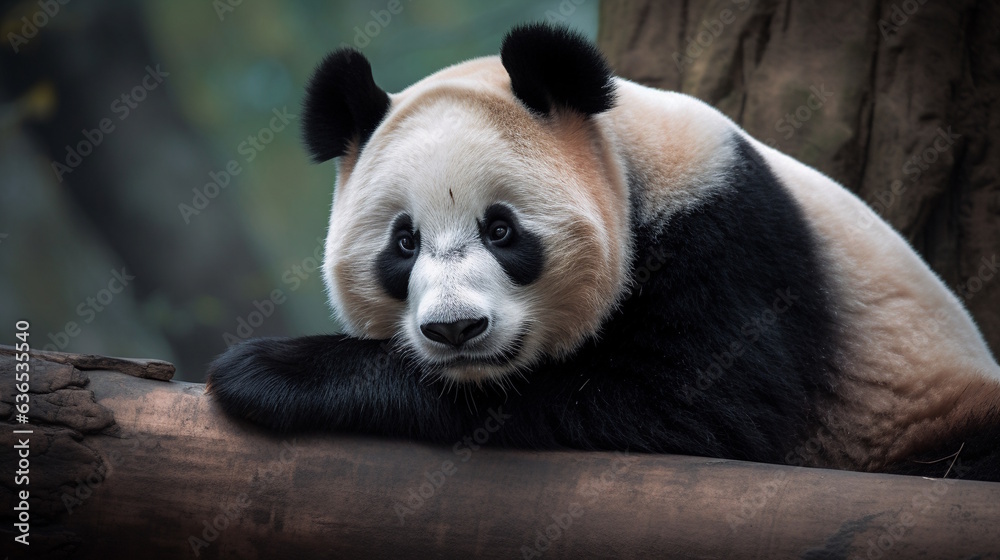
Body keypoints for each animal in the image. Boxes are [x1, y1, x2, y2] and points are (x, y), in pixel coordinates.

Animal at [207, 24, 1000, 482]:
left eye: (502, 230)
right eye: (404, 242)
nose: (456, 330)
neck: (625, 155)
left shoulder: (729, 232)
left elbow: (692, 407)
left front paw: (274, 371)